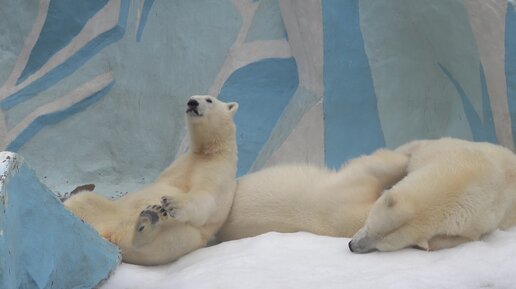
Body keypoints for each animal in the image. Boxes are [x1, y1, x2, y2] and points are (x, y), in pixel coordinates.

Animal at [64, 95, 240, 264]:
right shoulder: (180, 165)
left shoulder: (218, 172)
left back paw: (148, 220)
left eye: (209, 99)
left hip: (187, 236)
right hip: (109, 211)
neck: (209, 151)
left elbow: (206, 198)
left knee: (169, 242)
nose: (192, 103)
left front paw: (172, 202)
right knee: (84, 200)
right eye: (192, 97)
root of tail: (109, 234)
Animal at [348, 137, 516, 252]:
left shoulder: (477, 222)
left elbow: (463, 239)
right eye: (369, 226)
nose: (352, 246)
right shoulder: (435, 150)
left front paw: (425, 245)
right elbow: (411, 149)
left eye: (381, 246)